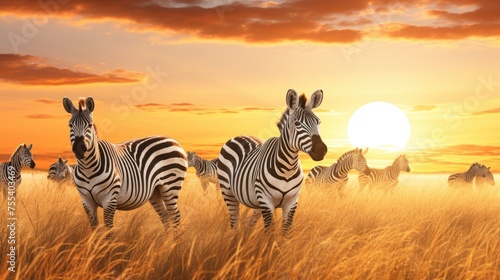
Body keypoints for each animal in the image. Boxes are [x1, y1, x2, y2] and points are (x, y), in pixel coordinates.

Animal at [62, 96, 188, 234]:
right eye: (70, 125)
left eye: (89, 125)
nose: (79, 150)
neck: (87, 168)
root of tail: (173, 141)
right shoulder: (87, 202)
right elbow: (94, 230)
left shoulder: (110, 200)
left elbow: (108, 230)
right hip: (156, 190)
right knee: (166, 217)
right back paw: (167, 240)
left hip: (171, 186)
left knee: (175, 217)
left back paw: (175, 240)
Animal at [216, 89, 326, 234]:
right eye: (297, 124)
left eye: (318, 122)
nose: (321, 150)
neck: (288, 168)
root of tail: (238, 136)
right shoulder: (266, 201)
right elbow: (269, 232)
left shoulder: (291, 202)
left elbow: (286, 232)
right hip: (228, 192)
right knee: (235, 223)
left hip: (256, 201)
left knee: (249, 224)